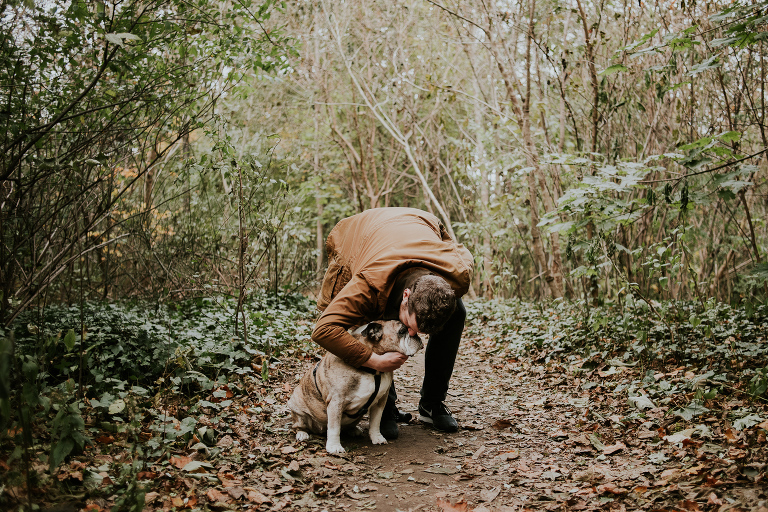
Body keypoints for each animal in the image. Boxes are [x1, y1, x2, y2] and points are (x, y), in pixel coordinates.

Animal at [288, 322, 424, 454]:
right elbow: (334, 428)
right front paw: (334, 446)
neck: (372, 370)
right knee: (298, 426)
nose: (417, 335)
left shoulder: (380, 400)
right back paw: (302, 434)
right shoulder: (336, 402)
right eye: (402, 331)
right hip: (297, 407)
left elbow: (375, 421)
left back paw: (354, 430)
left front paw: (377, 437)